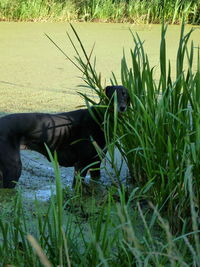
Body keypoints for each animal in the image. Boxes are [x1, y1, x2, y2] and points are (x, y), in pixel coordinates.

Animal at [0, 86, 129, 188]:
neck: (99, 118)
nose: (122, 107)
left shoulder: (96, 163)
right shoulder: (81, 164)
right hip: (13, 169)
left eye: (125, 94)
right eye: (112, 95)